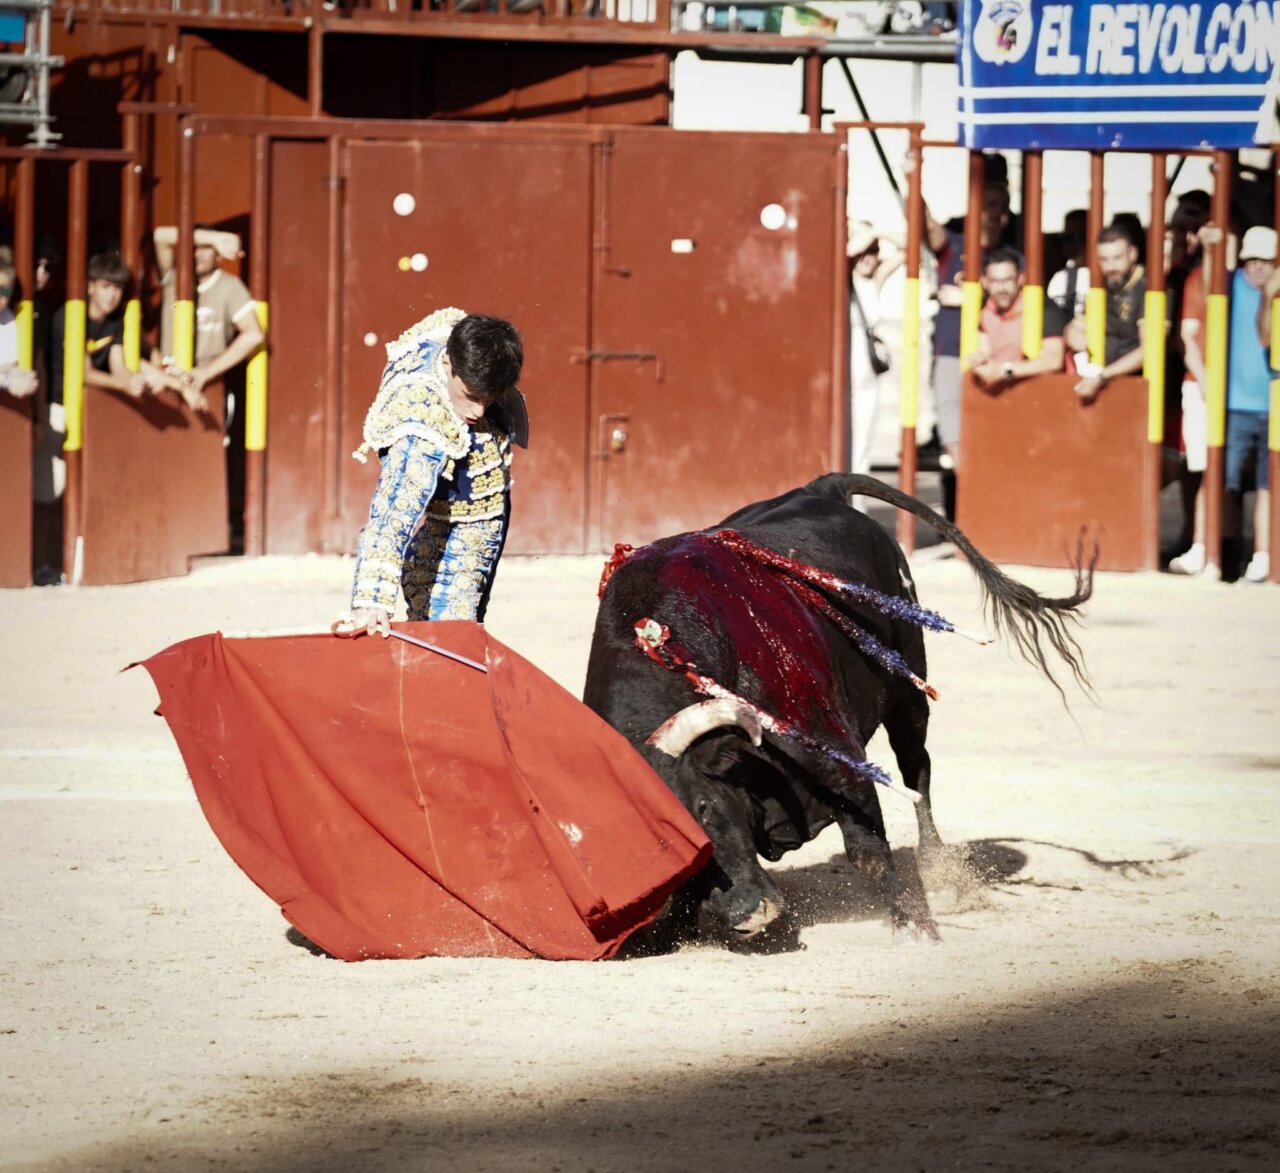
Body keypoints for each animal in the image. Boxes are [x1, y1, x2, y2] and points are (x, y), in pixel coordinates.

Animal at [582, 472, 1093, 944]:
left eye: (704, 807)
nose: (747, 913)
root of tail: (822, 488)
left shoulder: (835, 755)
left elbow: (868, 849)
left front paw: (914, 926)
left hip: (908, 690)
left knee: (917, 770)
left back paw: (938, 875)